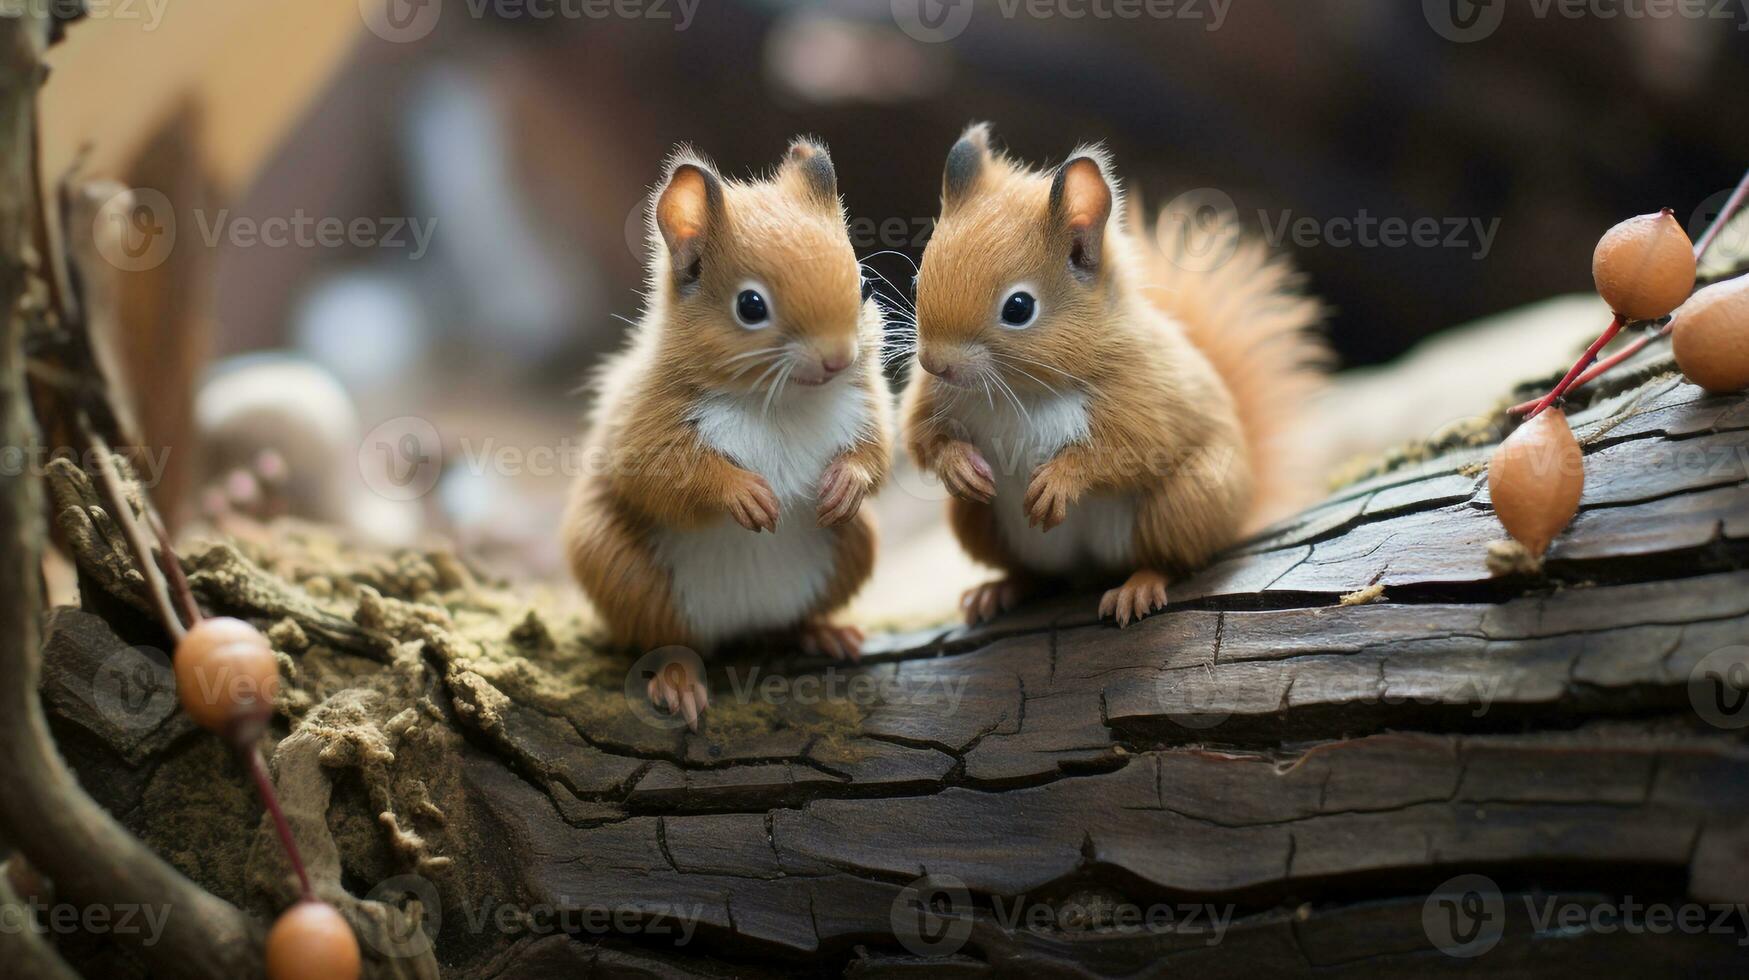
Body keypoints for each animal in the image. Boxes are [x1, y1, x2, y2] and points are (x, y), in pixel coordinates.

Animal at [566, 138, 895, 728]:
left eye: (861, 285)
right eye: (750, 306)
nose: (838, 358)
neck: (781, 403)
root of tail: (744, 620)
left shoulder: (867, 402)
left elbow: (878, 451)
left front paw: (848, 483)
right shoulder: (645, 418)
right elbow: (660, 474)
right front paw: (740, 492)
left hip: (853, 547)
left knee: (793, 620)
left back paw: (822, 631)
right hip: (622, 569)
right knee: (667, 642)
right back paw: (678, 678)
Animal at [902, 124, 1322, 626]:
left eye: (1019, 308)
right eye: (918, 281)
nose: (935, 363)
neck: (1017, 390)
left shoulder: (1142, 391)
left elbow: (1129, 449)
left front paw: (1061, 480)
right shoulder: (934, 397)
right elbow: (920, 437)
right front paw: (956, 464)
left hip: (1186, 500)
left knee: (1173, 559)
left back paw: (1138, 585)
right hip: (979, 523)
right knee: (1038, 576)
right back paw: (999, 589)